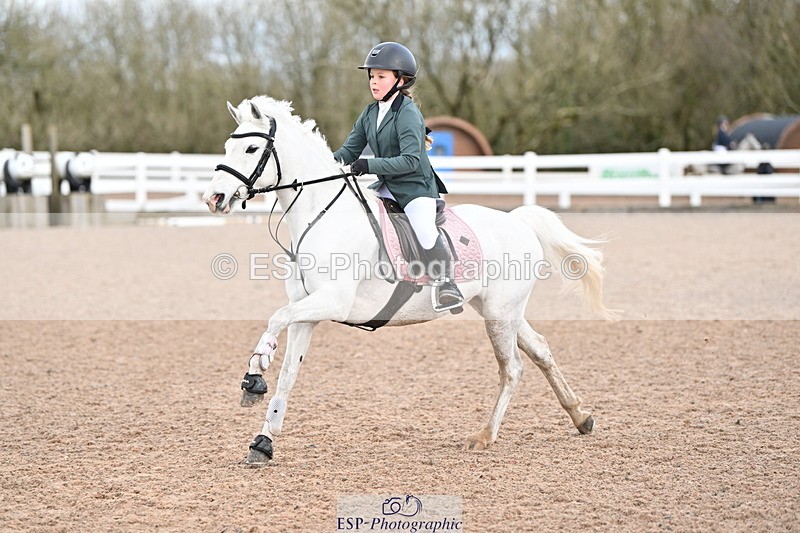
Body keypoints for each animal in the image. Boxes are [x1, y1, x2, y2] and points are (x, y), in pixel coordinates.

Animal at [203, 96, 618, 465]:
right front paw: (262, 441)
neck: (322, 216)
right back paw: (581, 417)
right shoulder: (307, 312)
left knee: (512, 367)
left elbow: (274, 319)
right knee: (541, 350)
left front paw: (254, 375)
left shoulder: (331, 301)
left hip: (500, 314)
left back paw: (485, 435)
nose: (214, 198)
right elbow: (289, 374)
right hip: (501, 309)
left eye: (252, 147)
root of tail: (518, 220)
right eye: (226, 146)